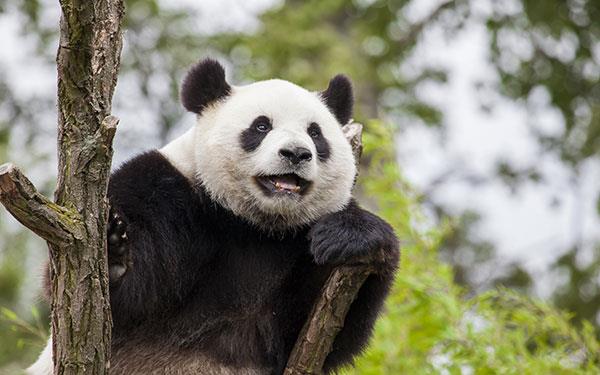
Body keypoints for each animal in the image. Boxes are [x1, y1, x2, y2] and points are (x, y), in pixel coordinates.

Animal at [30, 58, 400, 375]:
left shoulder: (295, 245)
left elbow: (316, 332)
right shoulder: (167, 188)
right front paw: (112, 250)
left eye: (315, 133)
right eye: (261, 126)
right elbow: (106, 298)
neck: (255, 224)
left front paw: (352, 237)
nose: (296, 153)